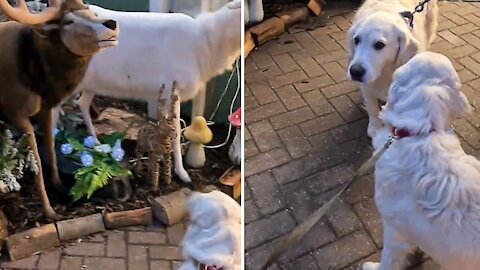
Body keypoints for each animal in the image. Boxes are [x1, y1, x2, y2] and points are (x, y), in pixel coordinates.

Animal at [346, 0, 436, 138]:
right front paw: (375, 127)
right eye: (356, 40)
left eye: (379, 45)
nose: (355, 72)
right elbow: (372, 107)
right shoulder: (367, 86)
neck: (385, 72)